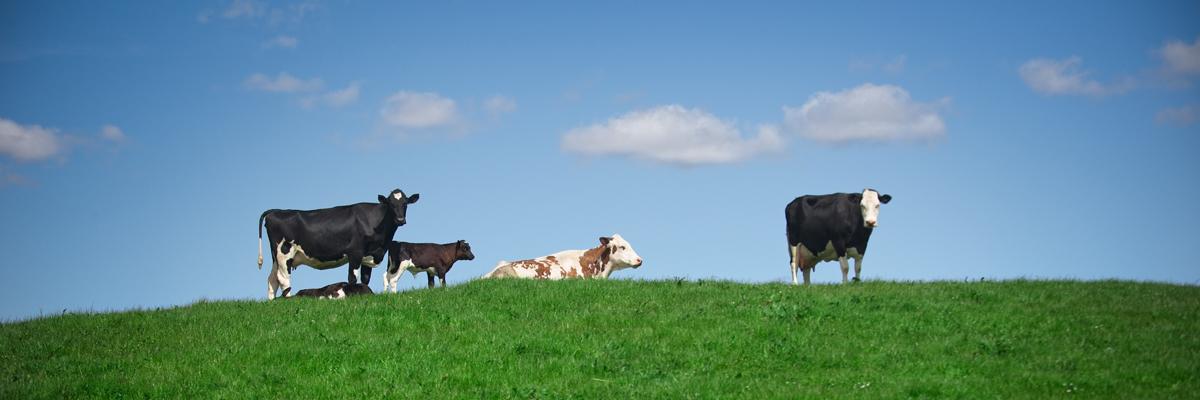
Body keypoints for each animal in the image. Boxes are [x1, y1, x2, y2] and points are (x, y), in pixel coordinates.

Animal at [255, 188, 420, 297]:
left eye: (405, 203)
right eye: (390, 204)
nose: (400, 219)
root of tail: (275, 211)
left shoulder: (369, 255)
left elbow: (365, 280)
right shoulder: (355, 253)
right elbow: (352, 279)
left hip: (276, 257)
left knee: (272, 280)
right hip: (284, 253)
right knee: (284, 280)